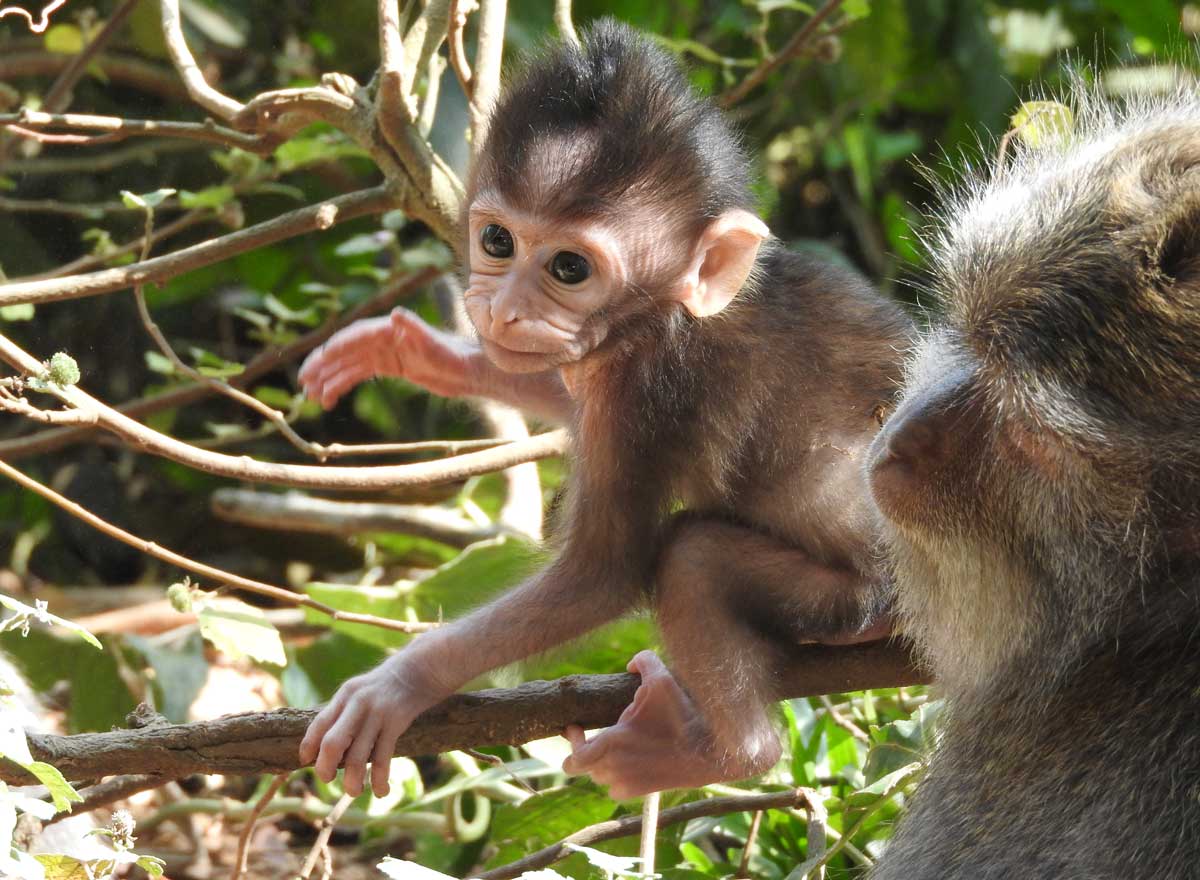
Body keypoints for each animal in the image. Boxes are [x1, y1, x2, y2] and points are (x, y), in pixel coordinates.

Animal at [299, 19, 912, 800]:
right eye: (497, 241)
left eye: (570, 268)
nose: (503, 311)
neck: (663, 314)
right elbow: (557, 390)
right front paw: (419, 352)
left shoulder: (646, 393)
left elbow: (604, 573)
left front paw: (401, 684)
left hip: (863, 598)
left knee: (693, 557)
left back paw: (725, 753)